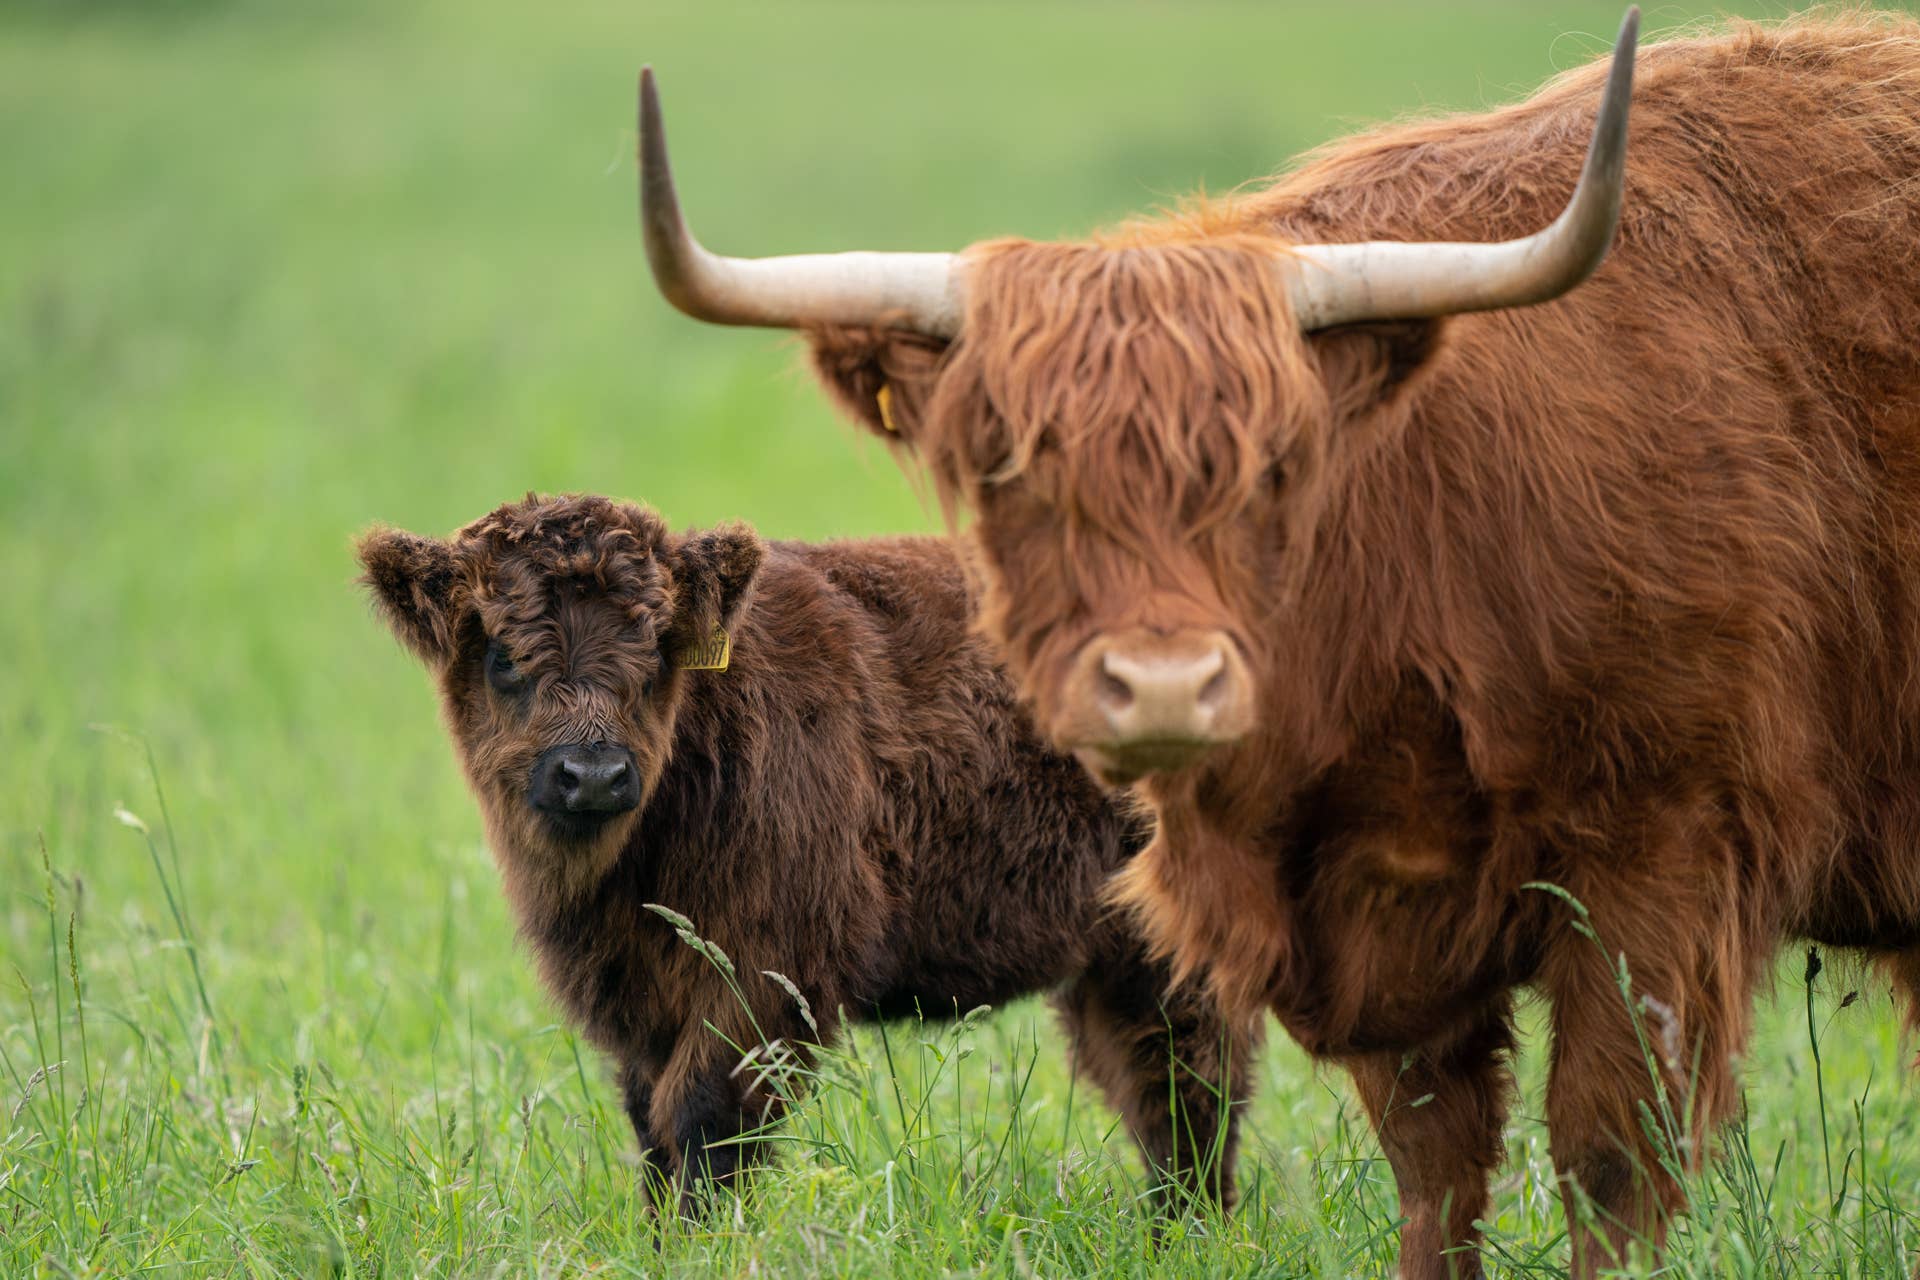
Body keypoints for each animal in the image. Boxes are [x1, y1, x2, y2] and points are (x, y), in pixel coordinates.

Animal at [356, 493, 1252, 1217]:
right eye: (502, 655)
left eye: (658, 649)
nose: (595, 773)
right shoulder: (638, 997)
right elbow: (652, 1127)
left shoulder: (766, 980)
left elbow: (705, 1121)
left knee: (1186, 1088)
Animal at [635, 9, 1920, 1276]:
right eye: (1010, 467)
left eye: (1276, 466)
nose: (1163, 687)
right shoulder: (1378, 934)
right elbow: (1435, 1176)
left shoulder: (1666, 857)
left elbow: (1612, 1163)